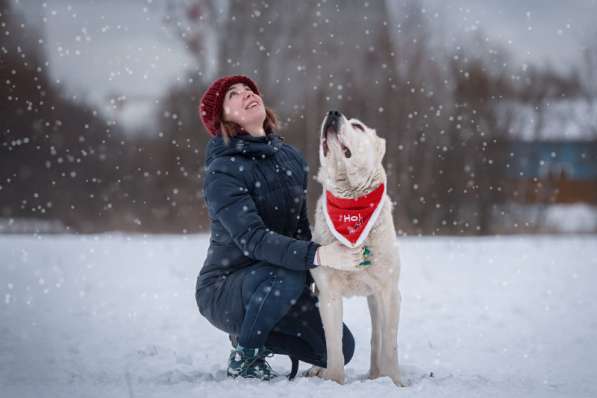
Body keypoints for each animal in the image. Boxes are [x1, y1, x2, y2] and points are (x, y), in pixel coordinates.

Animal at [308, 110, 400, 384]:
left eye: (357, 126)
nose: (333, 112)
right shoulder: (327, 293)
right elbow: (334, 346)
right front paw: (333, 380)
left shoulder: (389, 291)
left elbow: (389, 344)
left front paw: (395, 382)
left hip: (375, 298)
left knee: (377, 339)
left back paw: (377, 375)